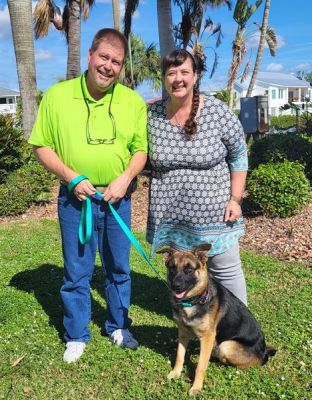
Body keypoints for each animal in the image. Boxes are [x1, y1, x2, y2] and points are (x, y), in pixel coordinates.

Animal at [157, 244, 276, 396]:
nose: (175, 286)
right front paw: (175, 373)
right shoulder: (183, 333)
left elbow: (200, 366)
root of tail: (264, 352)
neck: (193, 301)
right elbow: (179, 355)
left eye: (189, 269)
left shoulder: (207, 337)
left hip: (227, 345)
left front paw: (196, 387)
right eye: (172, 268)